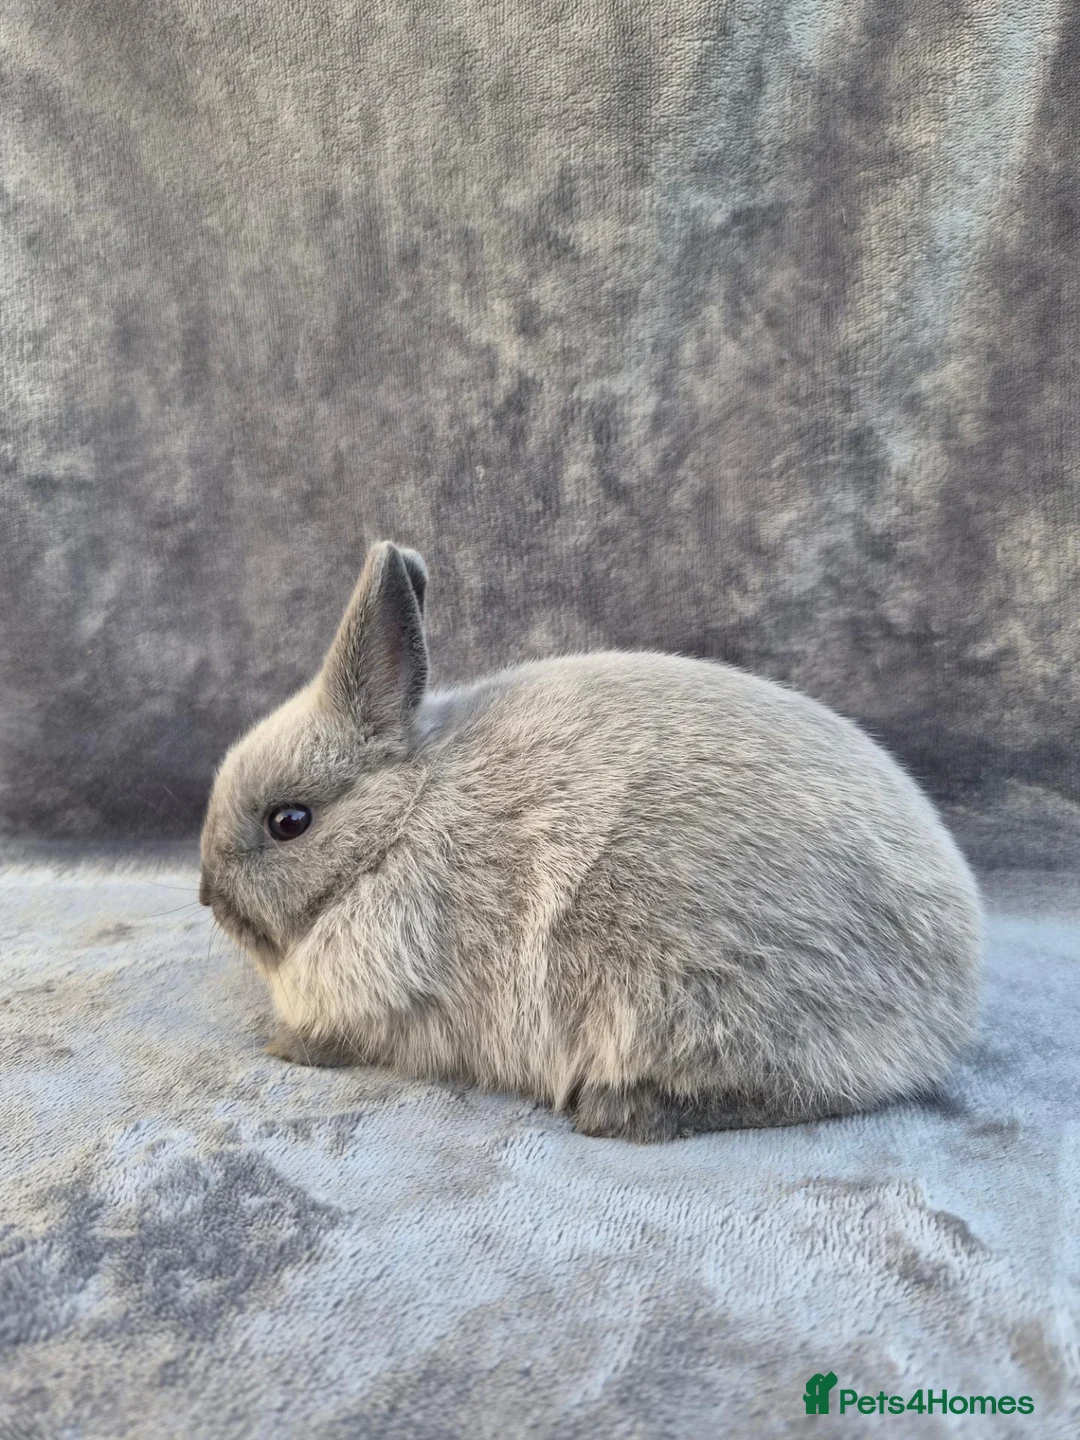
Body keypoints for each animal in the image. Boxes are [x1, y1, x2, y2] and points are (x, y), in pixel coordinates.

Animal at [199, 540, 982, 1142]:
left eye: (289, 821)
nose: (207, 892)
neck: (397, 827)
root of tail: (949, 997)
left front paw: (285, 1047)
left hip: (692, 995)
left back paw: (620, 1111)